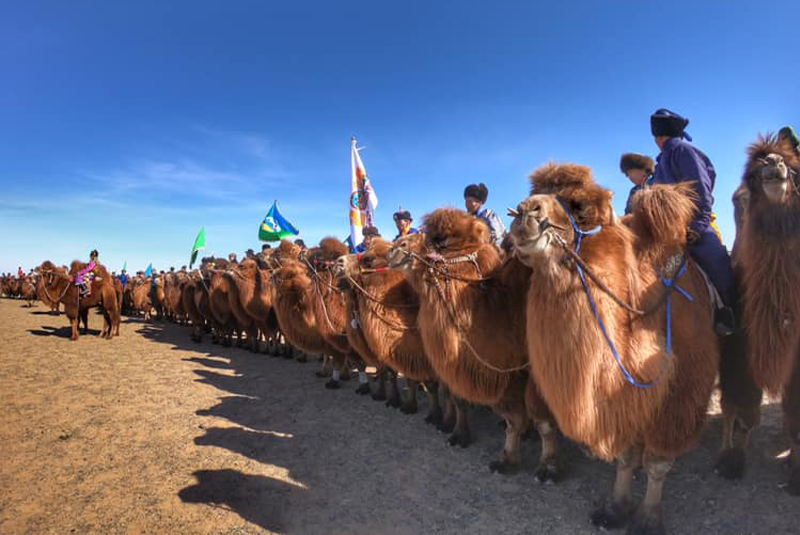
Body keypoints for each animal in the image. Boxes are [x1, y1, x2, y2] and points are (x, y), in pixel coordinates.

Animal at [387, 209, 557, 479]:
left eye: (441, 239)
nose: (395, 248)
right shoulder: (496, 370)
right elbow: (506, 417)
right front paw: (495, 452)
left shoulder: (531, 370)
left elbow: (540, 420)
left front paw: (547, 467)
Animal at [509, 163, 719, 534]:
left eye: (579, 205)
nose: (524, 211)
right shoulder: (623, 394)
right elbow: (624, 456)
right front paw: (615, 508)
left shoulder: (683, 387)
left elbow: (658, 462)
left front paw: (648, 517)